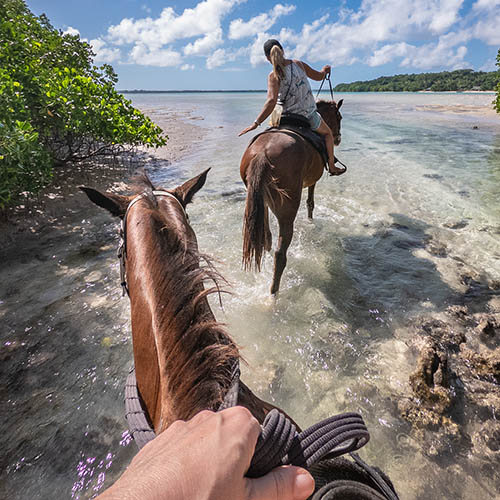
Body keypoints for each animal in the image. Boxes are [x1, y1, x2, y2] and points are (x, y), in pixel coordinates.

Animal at [241, 99, 344, 294]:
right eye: (339, 117)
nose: (338, 138)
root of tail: (262, 154)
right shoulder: (313, 181)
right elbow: (310, 203)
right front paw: (311, 221)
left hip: (260, 202)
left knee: (266, 238)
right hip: (287, 209)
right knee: (280, 253)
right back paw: (273, 293)